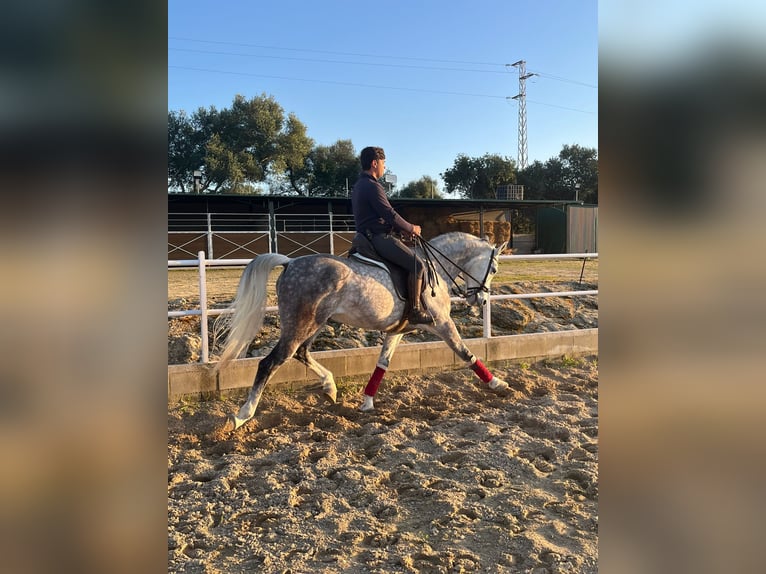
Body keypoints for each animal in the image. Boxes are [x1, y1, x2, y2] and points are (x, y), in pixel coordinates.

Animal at [214, 231, 509, 430]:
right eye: (494, 268)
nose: (482, 301)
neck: (435, 269)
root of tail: (289, 263)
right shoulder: (442, 323)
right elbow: (465, 353)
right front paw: (498, 384)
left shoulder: (397, 330)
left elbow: (382, 363)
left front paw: (367, 402)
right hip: (301, 324)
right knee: (271, 362)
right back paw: (242, 415)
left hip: (315, 323)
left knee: (301, 353)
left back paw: (330, 387)